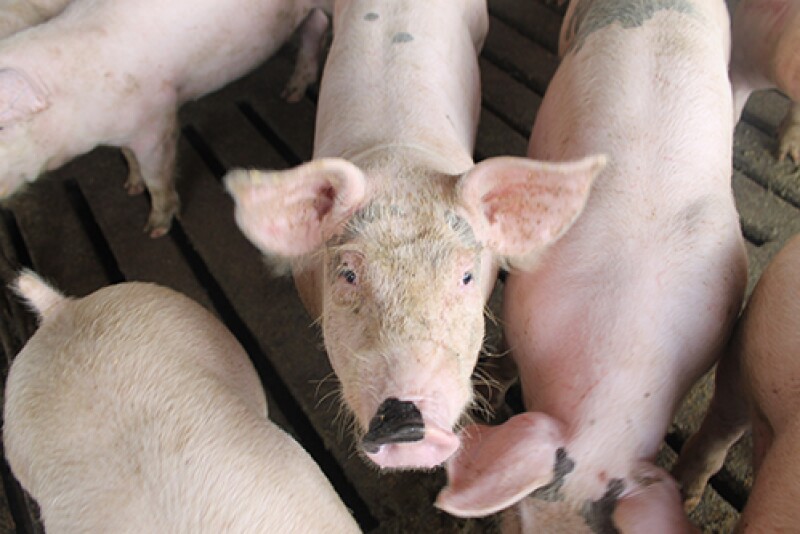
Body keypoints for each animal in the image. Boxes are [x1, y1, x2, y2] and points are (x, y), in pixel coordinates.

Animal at [0, 0, 332, 237]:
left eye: (2, 125)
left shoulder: (157, 123)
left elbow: (156, 175)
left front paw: (154, 230)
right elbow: (128, 156)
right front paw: (130, 188)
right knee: (314, 27)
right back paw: (290, 94)